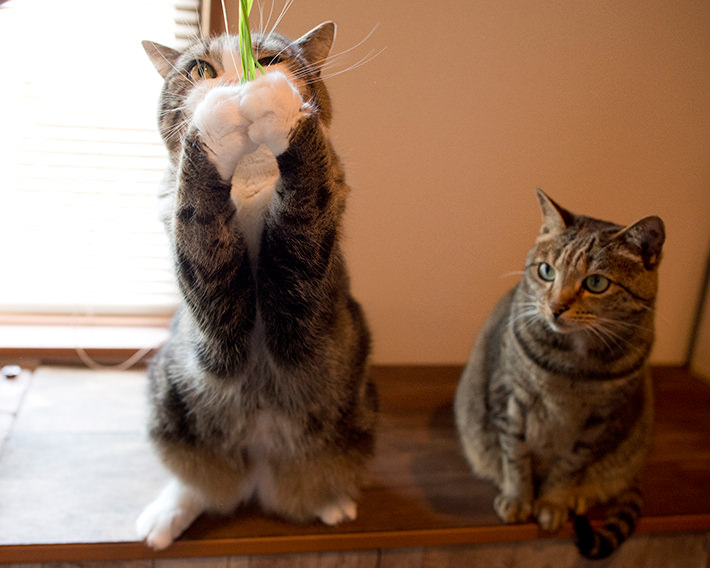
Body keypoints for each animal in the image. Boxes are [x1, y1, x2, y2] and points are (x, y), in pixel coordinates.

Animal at [135, 23, 378, 552]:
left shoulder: (302, 299)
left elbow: (305, 206)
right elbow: (198, 220)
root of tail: (258, 472)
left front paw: (276, 103)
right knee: (201, 483)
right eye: (200, 69)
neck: (247, 188)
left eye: (267, 61)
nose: (239, 80)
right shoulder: (214, 322)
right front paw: (218, 124)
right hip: (168, 390)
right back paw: (164, 519)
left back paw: (331, 502)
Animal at [456, 190, 668, 560]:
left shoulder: (601, 418)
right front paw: (518, 500)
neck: (571, 368)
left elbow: (570, 465)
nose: (555, 307)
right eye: (546, 271)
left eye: (596, 282)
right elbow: (515, 454)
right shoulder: (509, 394)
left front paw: (553, 503)